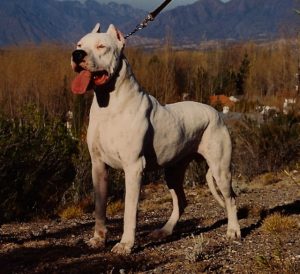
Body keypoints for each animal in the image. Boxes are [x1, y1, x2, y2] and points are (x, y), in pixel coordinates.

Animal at [71, 23, 241, 255]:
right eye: (79, 44)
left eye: (101, 46)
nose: (77, 54)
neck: (110, 105)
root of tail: (216, 112)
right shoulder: (98, 166)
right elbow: (99, 207)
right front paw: (98, 238)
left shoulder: (133, 168)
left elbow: (129, 211)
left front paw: (125, 244)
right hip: (173, 171)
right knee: (181, 201)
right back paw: (164, 231)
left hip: (220, 169)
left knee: (230, 198)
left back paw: (233, 231)